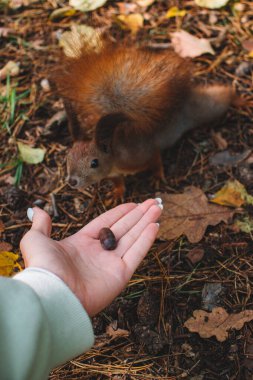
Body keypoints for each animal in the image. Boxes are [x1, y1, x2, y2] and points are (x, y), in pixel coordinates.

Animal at [52, 37, 236, 199]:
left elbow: (156, 159)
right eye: (68, 157)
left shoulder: (142, 154)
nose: (72, 181)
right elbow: (118, 182)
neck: (115, 157)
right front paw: (117, 192)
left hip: (205, 109)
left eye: (94, 163)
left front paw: (158, 176)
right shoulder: (113, 173)